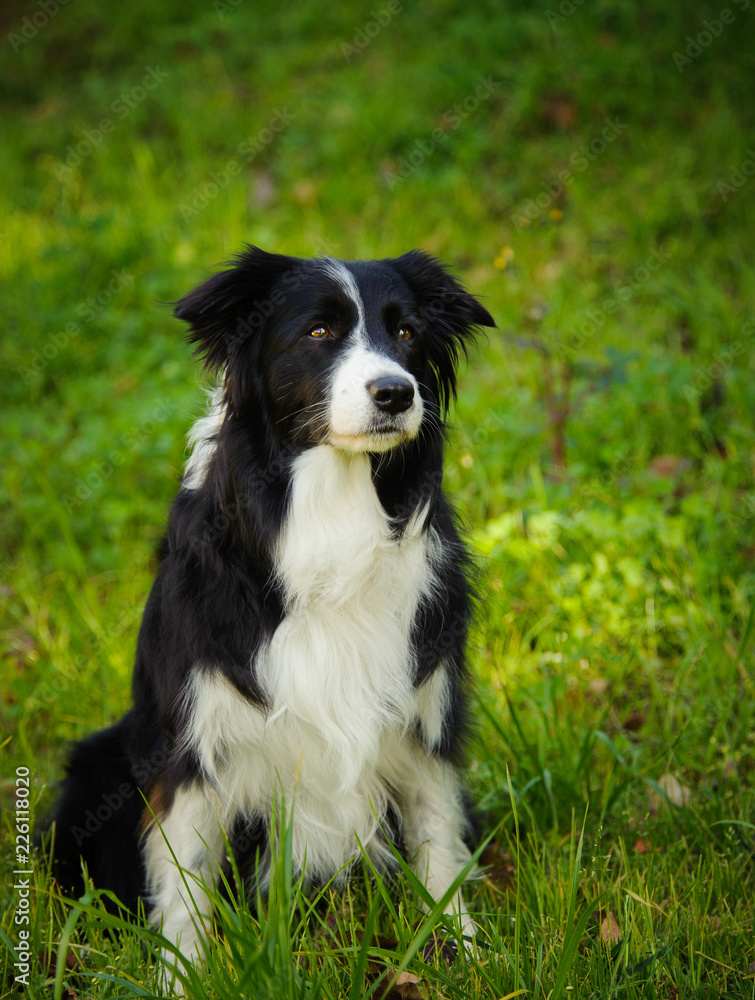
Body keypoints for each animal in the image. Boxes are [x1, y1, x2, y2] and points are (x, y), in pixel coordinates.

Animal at [48, 244, 496, 960]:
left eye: (406, 332)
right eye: (318, 331)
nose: (396, 392)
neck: (334, 510)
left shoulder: (424, 712)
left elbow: (438, 839)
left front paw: (465, 951)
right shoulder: (195, 738)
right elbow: (185, 880)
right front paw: (185, 972)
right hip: (101, 765)